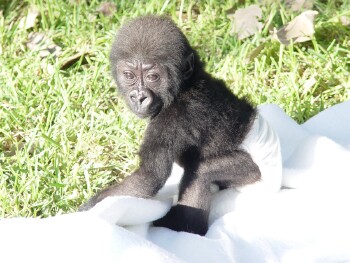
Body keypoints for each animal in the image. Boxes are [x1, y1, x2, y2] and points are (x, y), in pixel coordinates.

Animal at [80, 15, 262, 236]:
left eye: (153, 77)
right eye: (129, 75)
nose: (139, 97)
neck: (183, 87)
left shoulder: (172, 120)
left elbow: (149, 177)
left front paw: (88, 210)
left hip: (254, 171)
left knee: (202, 173)